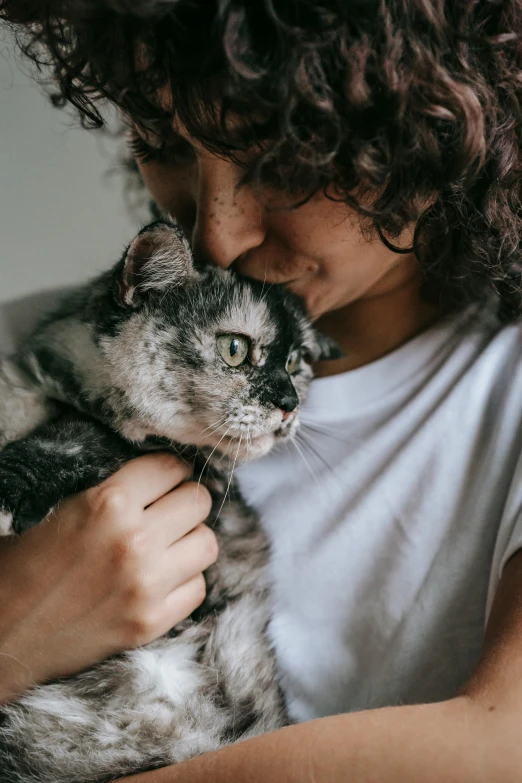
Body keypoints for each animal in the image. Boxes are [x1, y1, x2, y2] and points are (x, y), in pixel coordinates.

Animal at [0, 220, 340, 783]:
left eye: (295, 364)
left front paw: (12, 484)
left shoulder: (192, 478)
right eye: (234, 349)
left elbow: (81, 434)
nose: (290, 404)